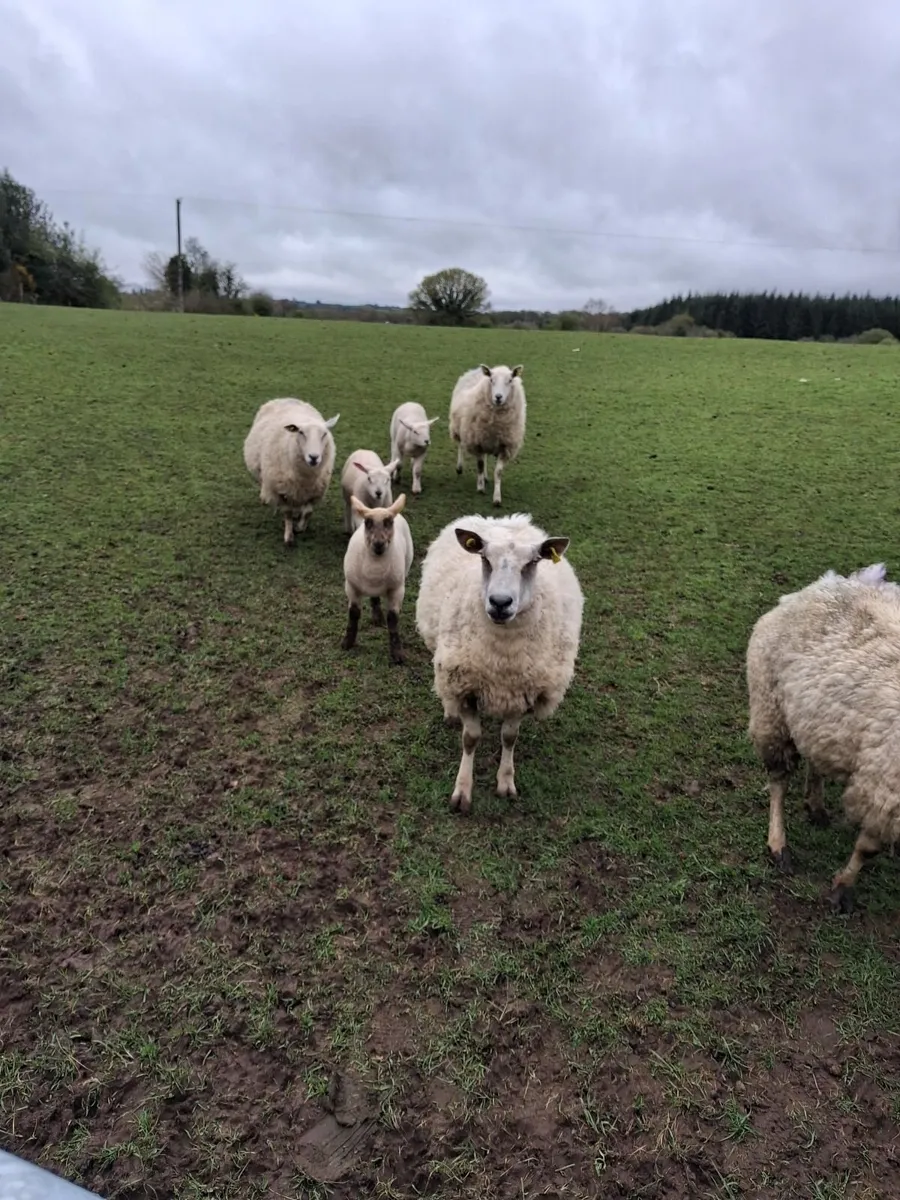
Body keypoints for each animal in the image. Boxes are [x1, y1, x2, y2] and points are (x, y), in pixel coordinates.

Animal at [243, 397, 339, 546]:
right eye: (300, 432)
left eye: (324, 434)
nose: (314, 457)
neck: (306, 477)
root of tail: (285, 398)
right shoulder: (282, 490)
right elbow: (287, 513)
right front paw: (289, 537)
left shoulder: (314, 492)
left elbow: (308, 512)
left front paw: (300, 527)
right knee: (263, 482)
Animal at [341, 494, 413, 665]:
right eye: (367, 522)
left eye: (389, 522)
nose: (378, 544)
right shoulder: (351, 587)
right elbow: (353, 614)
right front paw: (347, 642)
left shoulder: (397, 590)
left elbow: (393, 619)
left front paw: (397, 653)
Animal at [415, 511, 583, 813]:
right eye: (484, 559)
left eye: (533, 562)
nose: (500, 603)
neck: (501, 661)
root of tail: (500, 518)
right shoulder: (465, 686)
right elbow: (470, 739)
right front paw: (462, 791)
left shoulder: (521, 692)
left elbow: (509, 737)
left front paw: (505, 782)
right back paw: (449, 712)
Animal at [449, 364, 526, 507]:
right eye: (491, 380)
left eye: (510, 380)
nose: (498, 397)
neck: (495, 424)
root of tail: (476, 370)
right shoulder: (477, 441)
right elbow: (479, 464)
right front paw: (480, 488)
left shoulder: (504, 446)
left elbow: (498, 472)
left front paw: (497, 497)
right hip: (461, 427)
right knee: (461, 445)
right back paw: (460, 467)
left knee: (484, 456)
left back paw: (485, 477)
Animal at [747, 561, 900, 912]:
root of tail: (824, 585)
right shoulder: (885, 789)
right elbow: (868, 848)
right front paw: (842, 889)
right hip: (771, 710)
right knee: (778, 781)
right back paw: (779, 846)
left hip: (816, 714)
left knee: (815, 756)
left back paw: (815, 806)